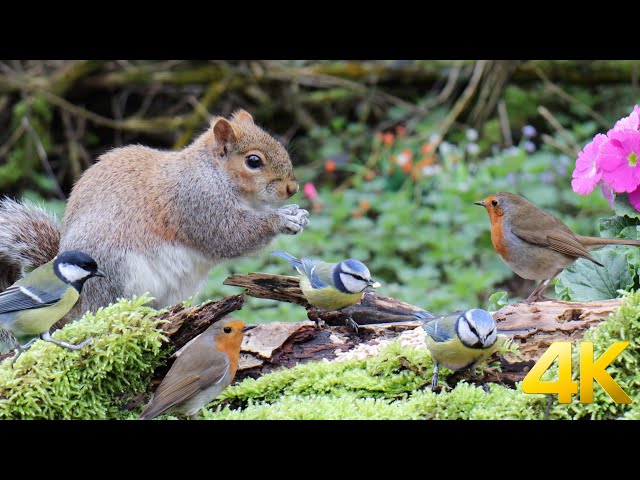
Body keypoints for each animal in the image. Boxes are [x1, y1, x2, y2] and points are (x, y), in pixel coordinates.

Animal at [0, 110, 310, 316]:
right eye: (253, 161)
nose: (292, 188)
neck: (213, 173)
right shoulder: (195, 202)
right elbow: (229, 236)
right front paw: (282, 219)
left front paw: (297, 212)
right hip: (113, 269)